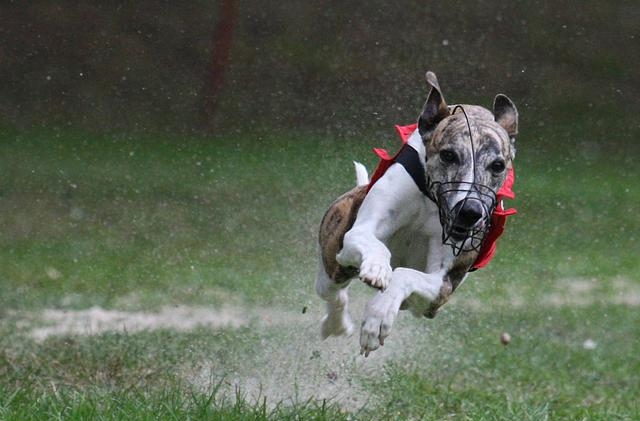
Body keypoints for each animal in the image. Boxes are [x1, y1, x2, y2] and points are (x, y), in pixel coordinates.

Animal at [316, 70, 520, 352]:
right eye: (448, 155)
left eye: (498, 165)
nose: (469, 212)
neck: (433, 202)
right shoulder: (357, 233)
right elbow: (375, 247)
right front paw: (378, 268)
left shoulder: (441, 289)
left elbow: (405, 275)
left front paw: (377, 318)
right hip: (334, 259)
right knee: (334, 291)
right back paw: (336, 325)